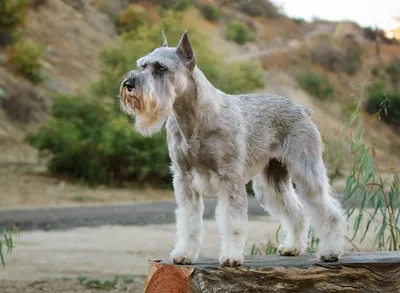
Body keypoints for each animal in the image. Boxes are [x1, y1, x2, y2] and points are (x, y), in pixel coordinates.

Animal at [119, 30, 346, 266]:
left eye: (161, 68)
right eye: (143, 65)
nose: (128, 84)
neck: (193, 118)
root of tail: (302, 109)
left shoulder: (229, 177)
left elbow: (233, 222)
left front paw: (231, 256)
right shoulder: (184, 177)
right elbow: (188, 220)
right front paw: (184, 254)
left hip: (306, 171)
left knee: (328, 212)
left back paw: (330, 252)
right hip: (271, 181)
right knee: (296, 212)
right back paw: (293, 247)